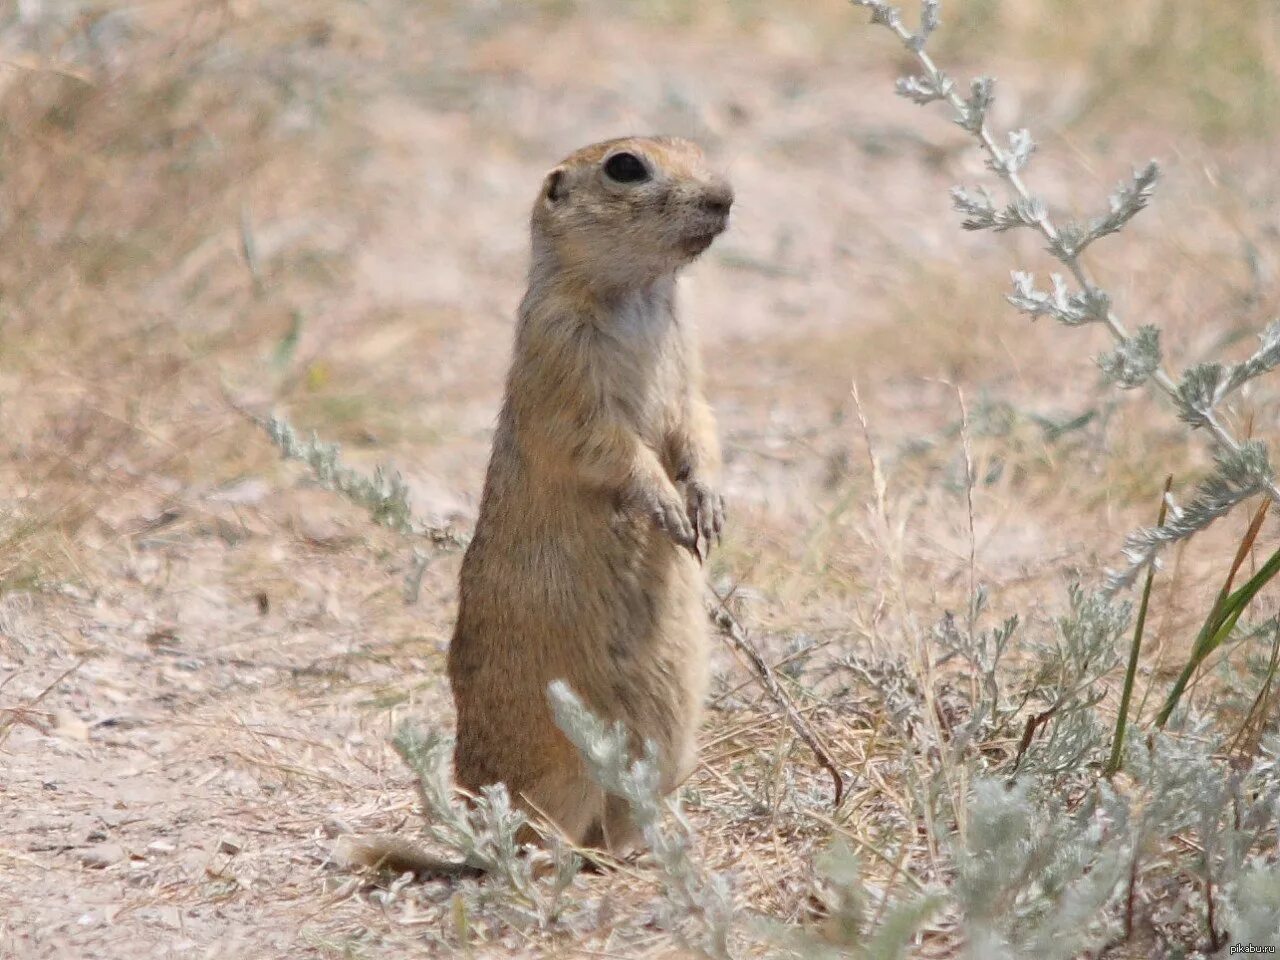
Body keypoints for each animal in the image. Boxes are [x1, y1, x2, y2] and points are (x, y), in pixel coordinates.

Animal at [345, 135, 737, 880]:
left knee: (615, 823)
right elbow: (609, 445)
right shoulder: (563, 366)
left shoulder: (691, 373)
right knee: (543, 838)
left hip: (667, 749)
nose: (725, 196)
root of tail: (472, 846)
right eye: (625, 166)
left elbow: (701, 426)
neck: (639, 296)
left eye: (697, 147)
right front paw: (667, 508)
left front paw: (707, 510)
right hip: (563, 769)